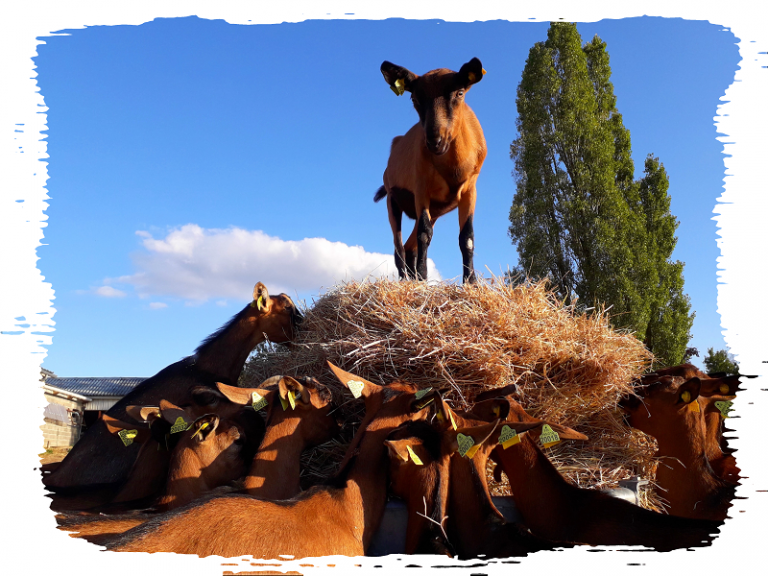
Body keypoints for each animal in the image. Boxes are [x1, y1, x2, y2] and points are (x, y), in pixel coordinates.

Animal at [372, 58, 486, 284]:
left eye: (460, 92)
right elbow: (424, 235)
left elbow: (467, 237)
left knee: (409, 247)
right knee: (399, 248)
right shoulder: (421, 188)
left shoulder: (470, 190)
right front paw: (423, 278)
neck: (453, 168)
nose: (435, 140)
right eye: (414, 97)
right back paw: (407, 280)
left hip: (434, 209)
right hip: (393, 201)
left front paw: (470, 282)